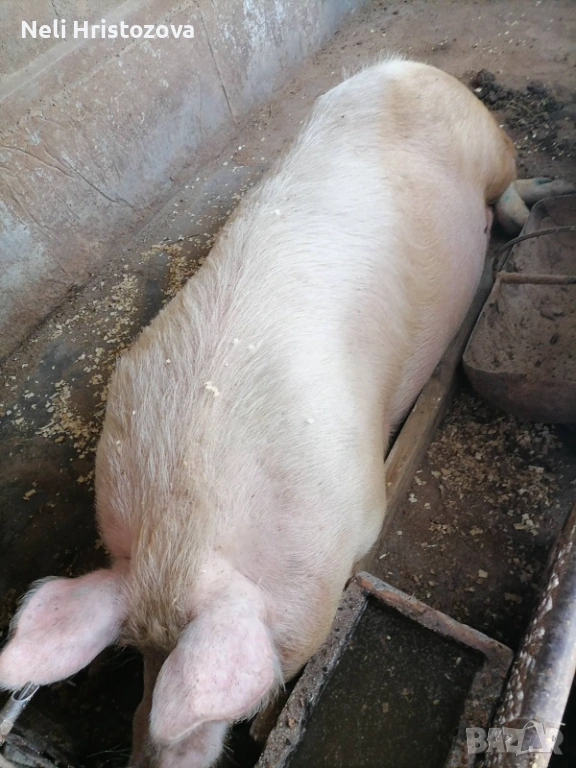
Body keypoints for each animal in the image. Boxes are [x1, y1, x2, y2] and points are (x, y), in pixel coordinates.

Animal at [0, 58, 571, 767]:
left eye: (227, 704)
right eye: (137, 653)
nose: (149, 759)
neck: (185, 524)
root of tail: (403, 66)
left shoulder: (359, 512)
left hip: (488, 141)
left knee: (510, 191)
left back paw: (539, 201)